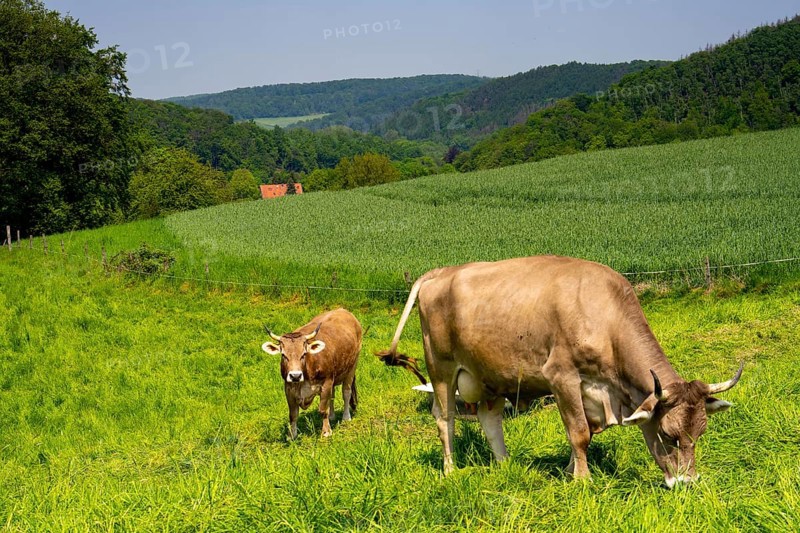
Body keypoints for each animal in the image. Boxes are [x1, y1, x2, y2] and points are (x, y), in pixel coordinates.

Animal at [262, 308, 361, 439]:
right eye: (283, 355)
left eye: (304, 354)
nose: (295, 376)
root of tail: (343, 310)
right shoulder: (288, 388)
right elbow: (293, 415)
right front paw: (292, 435)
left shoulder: (326, 383)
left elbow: (323, 409)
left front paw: (326, 431)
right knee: (332, 396)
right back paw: (332, 416)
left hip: (352, 367)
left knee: (346, 392)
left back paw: (346, 417)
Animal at [377, 256, 743, 487]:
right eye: (667, 434)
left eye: (700, 433)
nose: (686, 483)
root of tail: (441, 271)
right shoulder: (561, 376)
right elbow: (578, 432)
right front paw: (582, 480)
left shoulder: (591, 391)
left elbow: (584, 433)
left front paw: (569, 472)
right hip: (441, 368)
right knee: (445, 419)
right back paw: (451, 470)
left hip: (488, 375)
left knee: (489, 418)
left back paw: (504, 464)